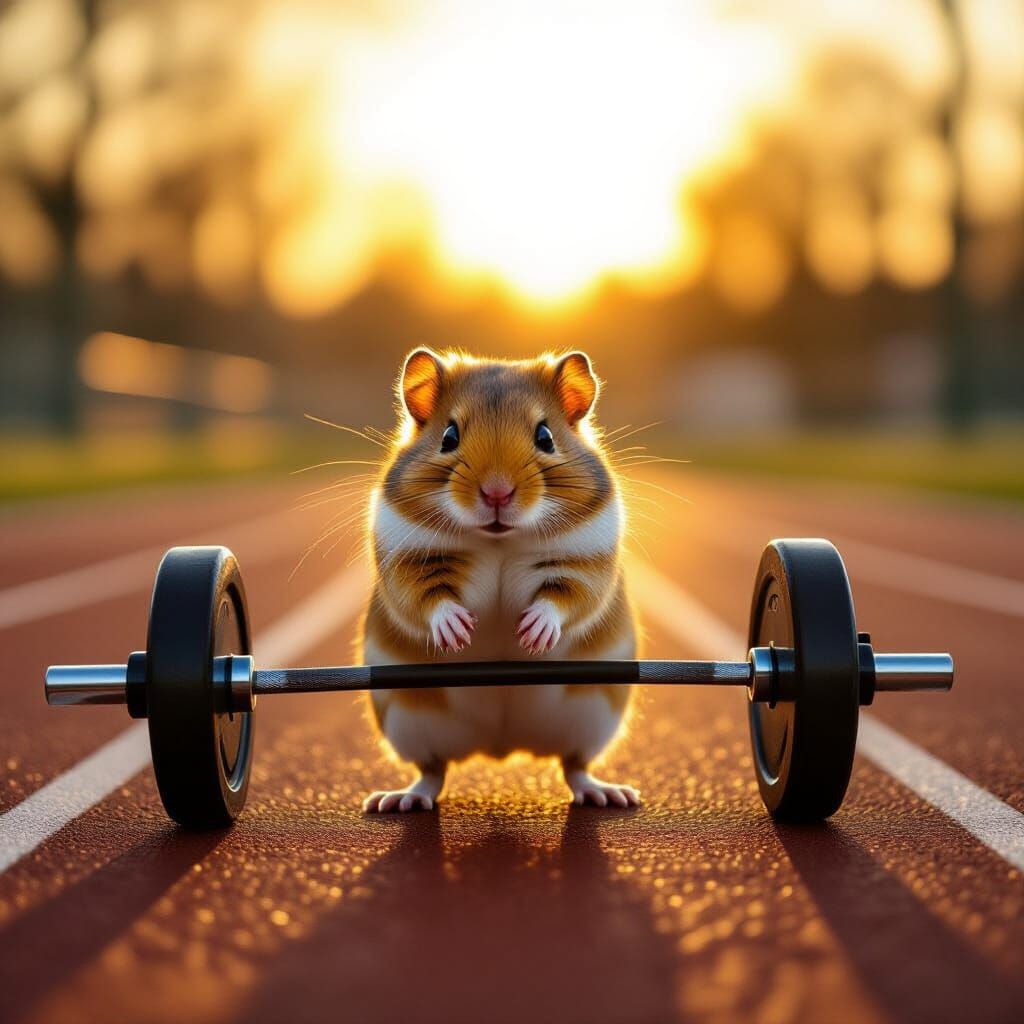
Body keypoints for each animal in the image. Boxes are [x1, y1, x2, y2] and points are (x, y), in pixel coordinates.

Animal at [358, 348, 639, 812]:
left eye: (545, 437)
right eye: (448, 436)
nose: (496, 493)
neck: (499, 540)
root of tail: (500, 749)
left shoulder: (586, 563)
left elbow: (565, 597)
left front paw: (532, 635)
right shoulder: (408, 562)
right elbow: (427, 599)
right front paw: (458, 633)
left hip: (593, 718)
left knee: (574, 766)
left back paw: (611, 794)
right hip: (409, 722)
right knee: (432, 772)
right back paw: (397, 801)